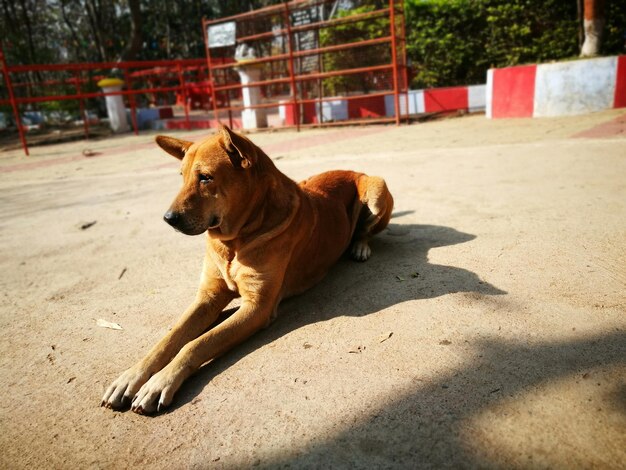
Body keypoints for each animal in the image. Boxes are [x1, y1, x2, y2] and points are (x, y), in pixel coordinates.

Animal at [101, 126, 390, 414]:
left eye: (205, 178)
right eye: (182, 177)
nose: (168, 219)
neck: (235, 240)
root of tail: (352, 170)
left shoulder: (257, 307)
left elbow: (197, 343)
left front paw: (160, 382)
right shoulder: (208, 297)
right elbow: (169, 339)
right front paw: (131, 376)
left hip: (377, 190)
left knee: (366, 230)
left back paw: (360, 247)